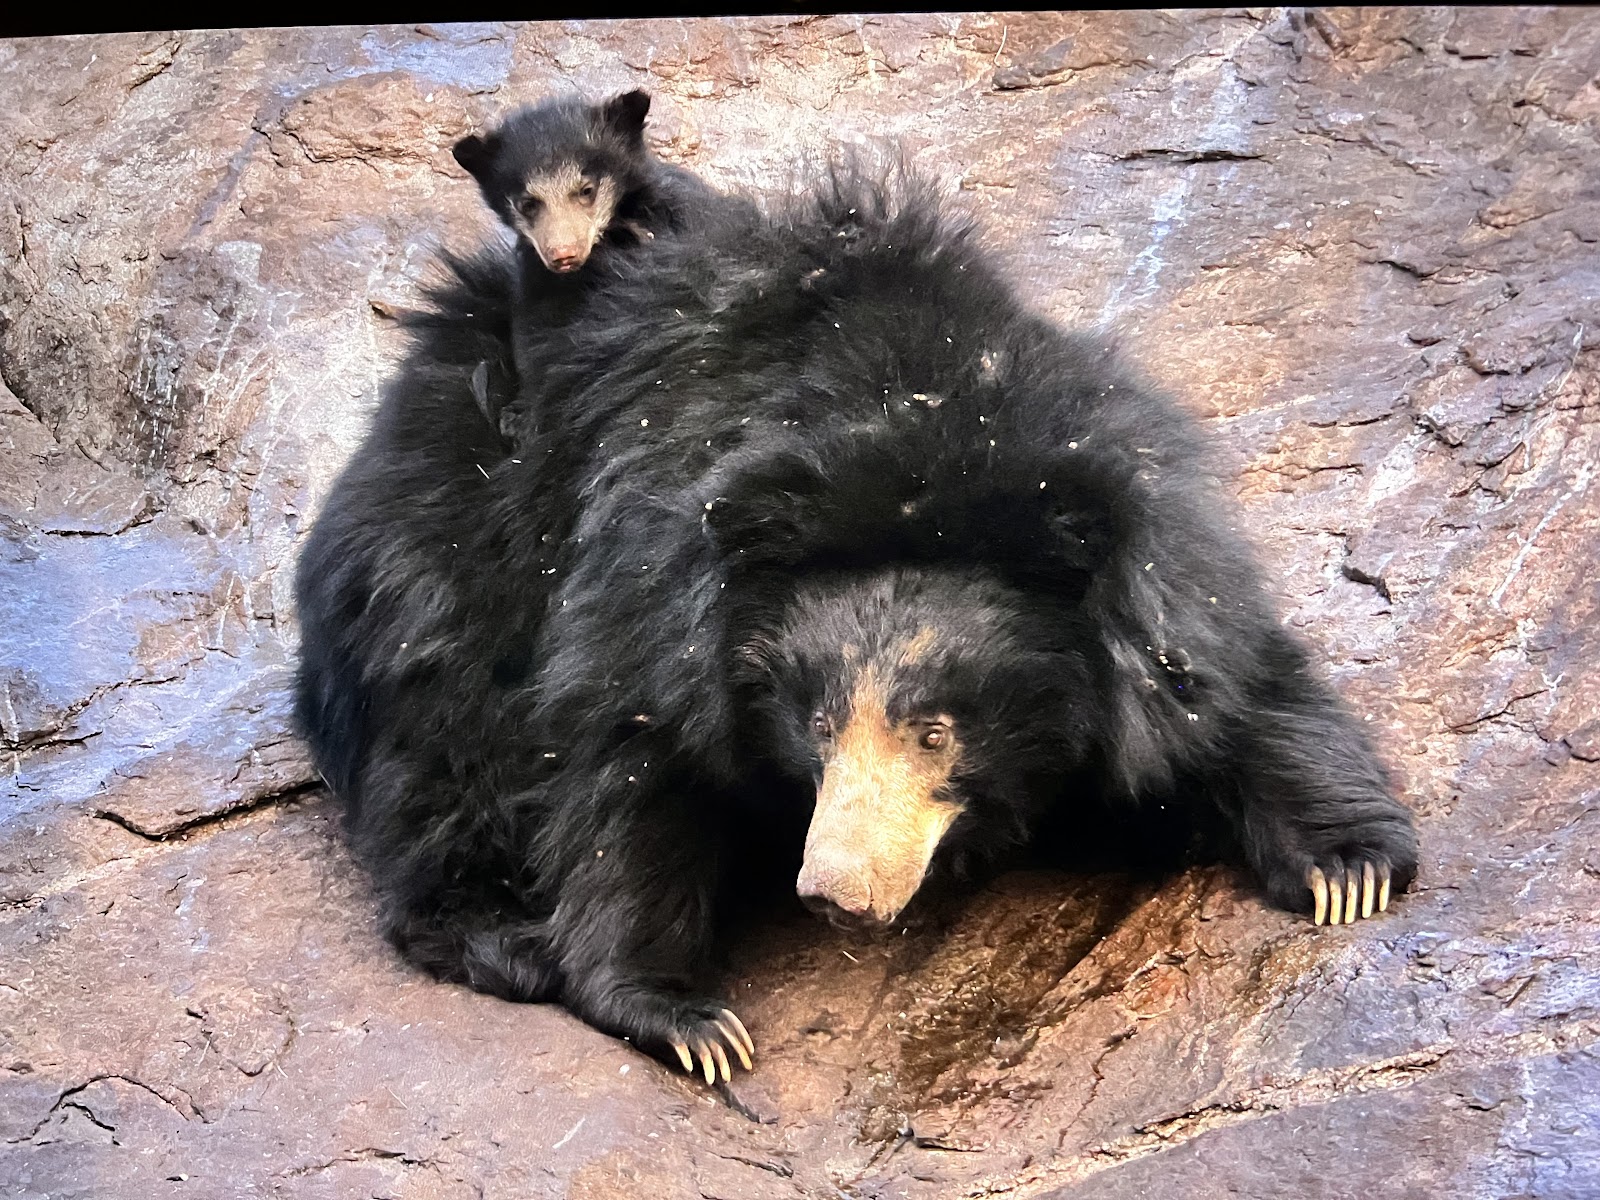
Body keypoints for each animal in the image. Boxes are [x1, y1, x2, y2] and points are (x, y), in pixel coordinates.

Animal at [293, 160, 1420, 1085]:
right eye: (819, 725)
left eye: (935, 733)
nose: (834, 891)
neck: (912, 462)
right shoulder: (652, 588)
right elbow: (631, 769)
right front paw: (689, 1020)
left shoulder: (1143, 550)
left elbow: (1231, 688)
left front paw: (1351, 873)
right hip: (446, 559)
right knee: (444, 740)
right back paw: (503, 939)